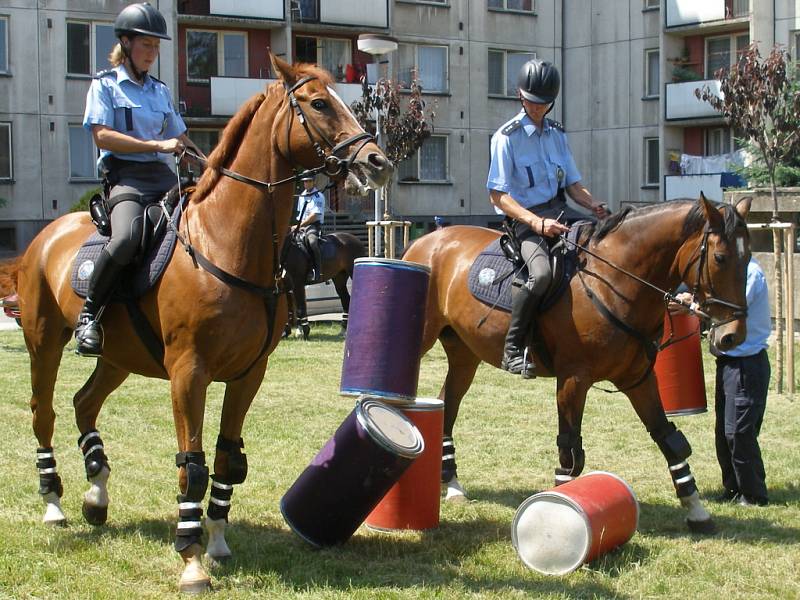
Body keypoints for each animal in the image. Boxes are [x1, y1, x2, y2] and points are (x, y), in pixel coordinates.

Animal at [0, 55, 392, 592]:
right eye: (317, 104)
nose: (377, 162)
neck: (225, 243)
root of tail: (43, 238)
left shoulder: (248, 374)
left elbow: (227, 457)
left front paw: (219, 541)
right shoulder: (189, 374)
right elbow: (193, 465)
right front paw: (191, 559)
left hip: (119, 357)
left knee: (84, 403)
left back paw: (96, 493)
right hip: (44, 343)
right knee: (44, 412)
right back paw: (55, 503)